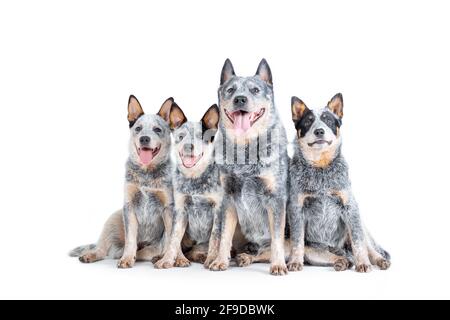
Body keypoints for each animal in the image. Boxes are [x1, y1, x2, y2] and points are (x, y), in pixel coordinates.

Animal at [68, 95, 178, 268]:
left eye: (157, 129)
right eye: (138, 128)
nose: (144, 138)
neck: (146, 173)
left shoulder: (168, 207)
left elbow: (170, 238)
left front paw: (170, 259)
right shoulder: (129, 205)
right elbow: (131, 239)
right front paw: (127, 258)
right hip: (114, 218)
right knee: (103, 248)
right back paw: (92, 254)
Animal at [155, 104, 223, 268]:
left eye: (200, 136)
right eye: (181, 136)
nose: (188, 146)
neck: (194, 178)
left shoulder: (218, 210)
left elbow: (215, 237)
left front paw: (212, 259)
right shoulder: (180, 210)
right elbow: (174, 239)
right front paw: (166, 260)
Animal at [210, 58, 290, 276]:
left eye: (255, 90)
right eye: (230, 90)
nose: (240, 99)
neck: (245, 149)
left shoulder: (276, 199)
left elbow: (277, 240)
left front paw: (278, 265)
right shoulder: (228, 198)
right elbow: (224, 235)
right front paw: (220, 260)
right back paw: (243, 257)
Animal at [288, 93, 390, 272]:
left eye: (328, 120)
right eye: (307, 121)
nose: (319, 131)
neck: (321, 169)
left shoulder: (350, 207)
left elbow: (359, 242)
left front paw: (363, 263)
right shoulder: (297, 208)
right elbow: (297, 240)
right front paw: (295, 261)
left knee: (368, 246)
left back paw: (378, 260)